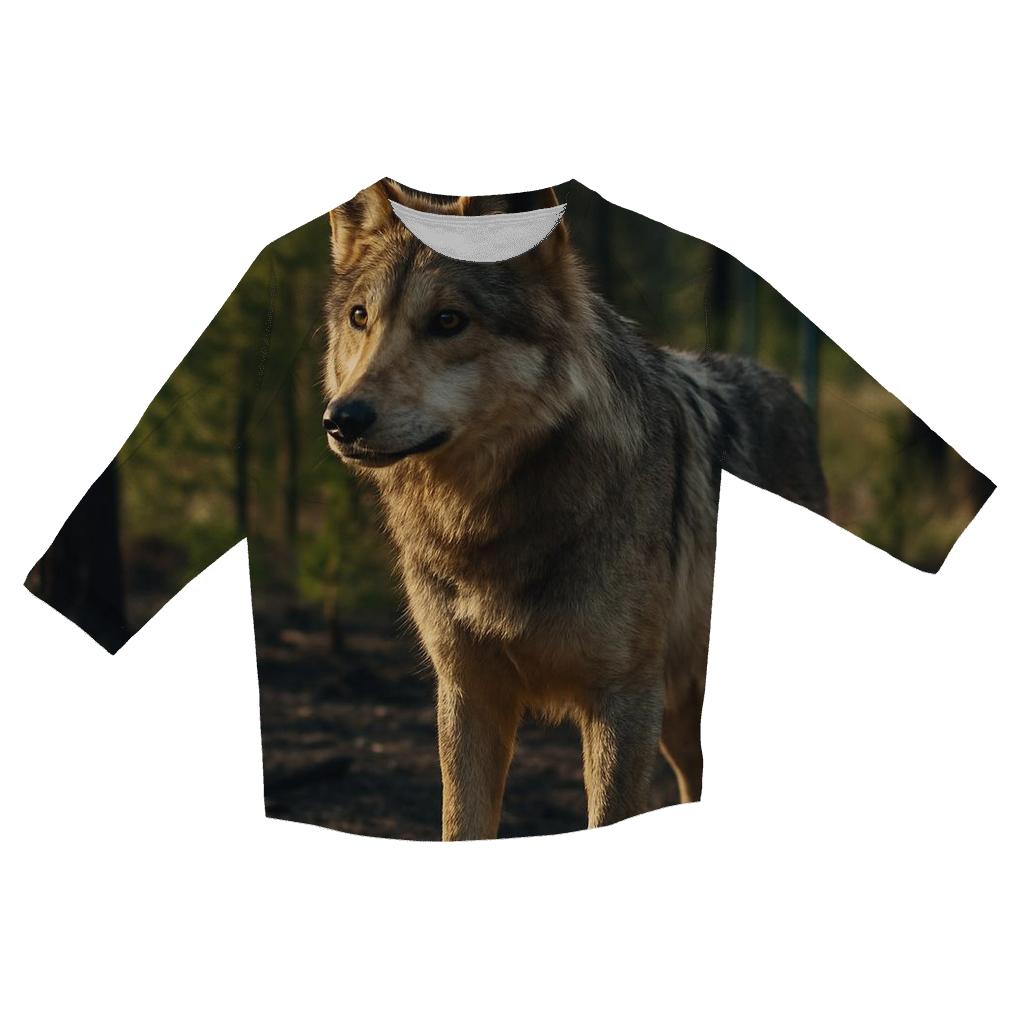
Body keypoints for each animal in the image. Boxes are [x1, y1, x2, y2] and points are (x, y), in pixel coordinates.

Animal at [322, 180, 828, 840]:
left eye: (448, 321)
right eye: (361, 317)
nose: (341, 419)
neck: (488, 522)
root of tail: (788, 390)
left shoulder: (621, 701)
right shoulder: (467, 694)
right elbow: (461, 826)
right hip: (679, 715)